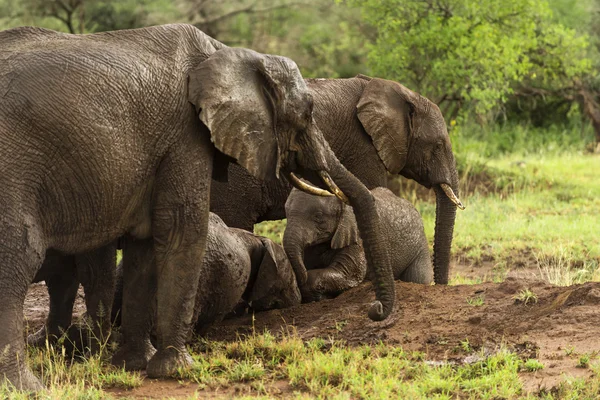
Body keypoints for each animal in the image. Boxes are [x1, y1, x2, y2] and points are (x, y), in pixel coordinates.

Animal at [1, 23, 394, 390]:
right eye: (308, 114)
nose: (375, 311)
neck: (232, 55)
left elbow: (144, 244)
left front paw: (133, 364)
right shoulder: (185, 134)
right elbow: (181, 228)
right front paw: (177, 370)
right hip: (15, 165)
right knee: (19, 258)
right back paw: (26, 387)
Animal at [284, 186, 434, 302]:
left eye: (318, 216)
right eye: (286, 212)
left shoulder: (357, 235)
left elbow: (347, 273)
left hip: (420, 246)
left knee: (419, 278)